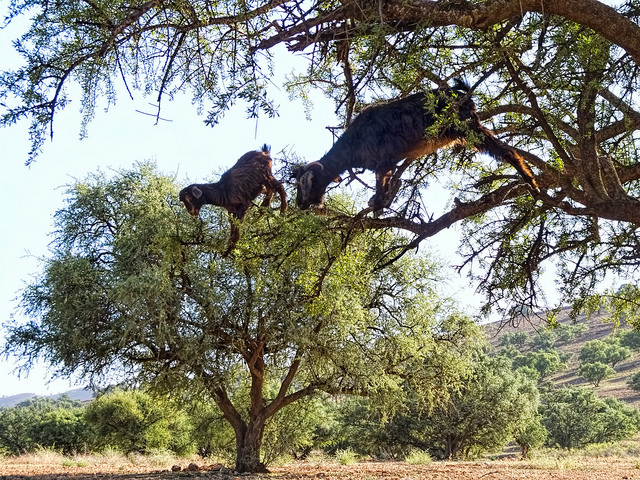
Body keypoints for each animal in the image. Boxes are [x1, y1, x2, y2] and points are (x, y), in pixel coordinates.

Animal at [292, 79, 536, 211]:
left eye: (305, 184)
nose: (300, 204)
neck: (354, 142)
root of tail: (461, 95)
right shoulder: (387, 164)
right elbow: (388, 182)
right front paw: (380, 201)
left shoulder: (384, 160)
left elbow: (381, 183)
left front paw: (377, 204)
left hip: (469, 128)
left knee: (505, 151)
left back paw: (529, 179)